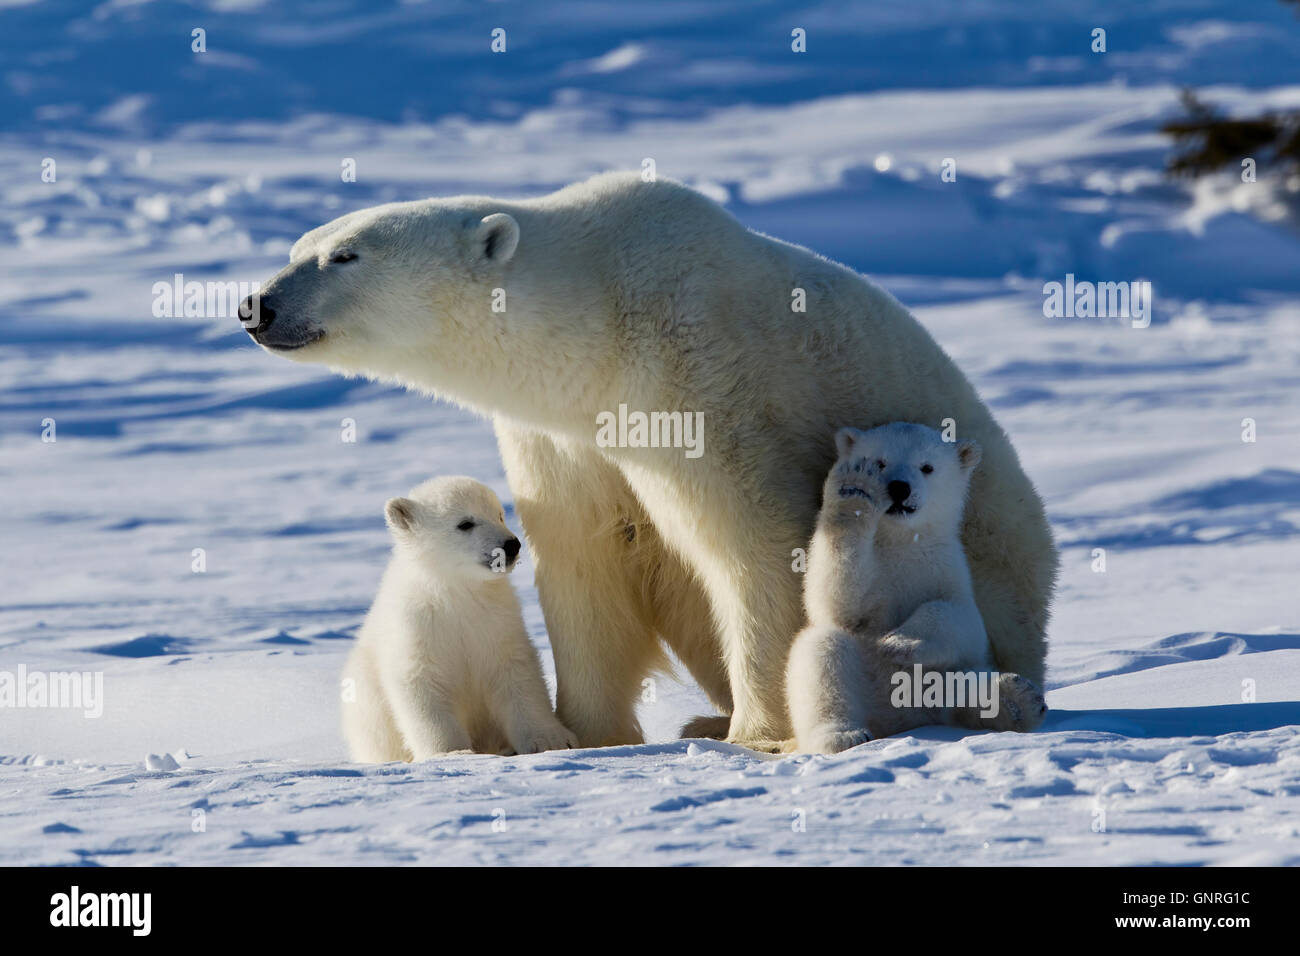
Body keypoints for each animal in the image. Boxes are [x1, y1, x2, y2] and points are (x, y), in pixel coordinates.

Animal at [343, 478, 577, 764]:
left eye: (499, 514)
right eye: (465, 523)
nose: (511, 545)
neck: (456, 592)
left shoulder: (496, 622)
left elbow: (517, 673)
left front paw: (551, 740)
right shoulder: (418, 627)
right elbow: (422, 684)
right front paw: (451, 752)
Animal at [780, 426, 1045, 754]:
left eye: (927, 467)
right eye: (880, 463)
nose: (899, 488)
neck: (901, 540)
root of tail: (901, 719)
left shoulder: (946, 569)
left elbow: (958, 615)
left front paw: (898, 642)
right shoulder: (872, 576)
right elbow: (837, 601)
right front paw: (855, 489)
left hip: (941, 674)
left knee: (964, 685)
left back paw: (1016, 700)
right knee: (823, 656)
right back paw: (842, 736)